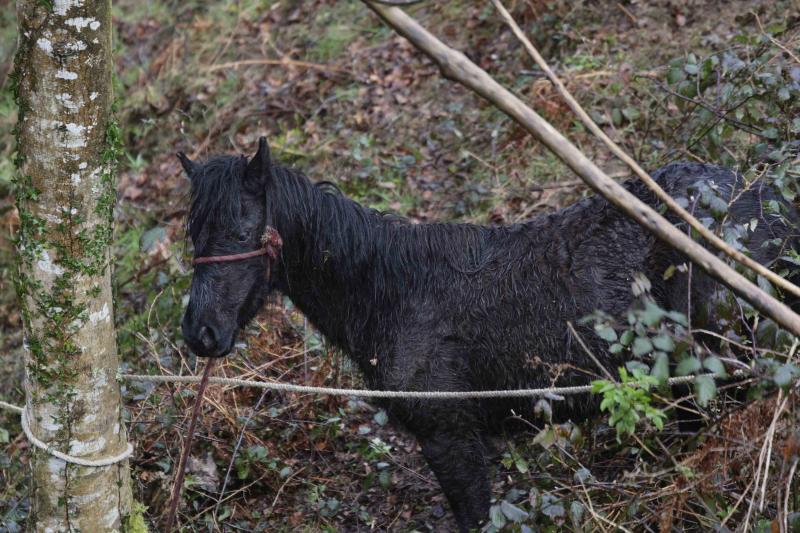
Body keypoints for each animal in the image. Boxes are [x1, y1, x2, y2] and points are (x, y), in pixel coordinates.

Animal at [178, 137, 798, 531]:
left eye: (241, 231)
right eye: (193, 232)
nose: (200, 333)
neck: (392, 293)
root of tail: (760, 197)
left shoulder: (449, 437)